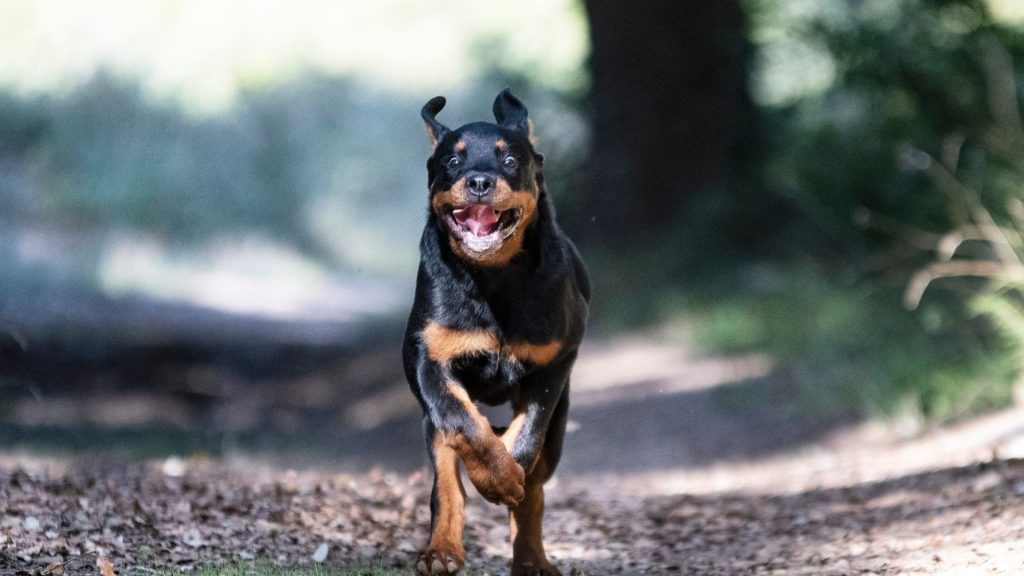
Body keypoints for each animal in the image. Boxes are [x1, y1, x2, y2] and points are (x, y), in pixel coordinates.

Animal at [401, 89, 589, 573]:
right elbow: (464, 424)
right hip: (430, 426)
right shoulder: (426, 358)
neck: (493, 279)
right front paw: (495, 476)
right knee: (447, 482)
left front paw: (507, 476)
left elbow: (526, 437)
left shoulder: (556, 360)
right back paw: (442, 552)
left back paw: (532, 559)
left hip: (560, 426)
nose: (480, 182)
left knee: (537, 486)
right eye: (452, 160)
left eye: (509, 160)